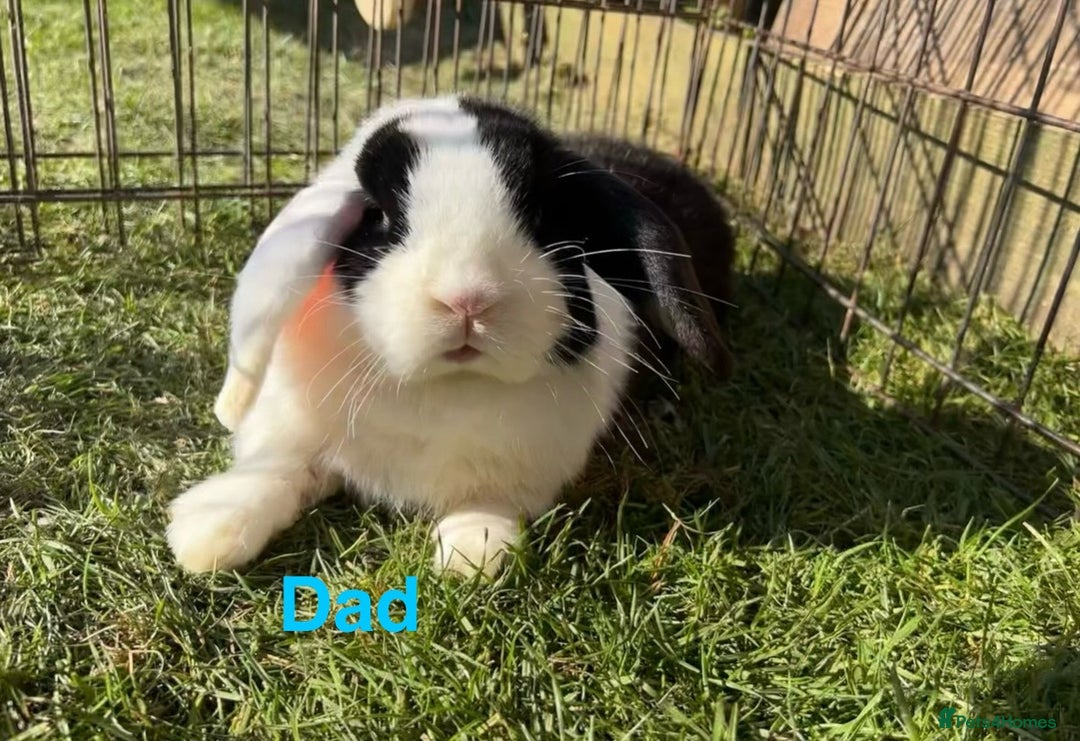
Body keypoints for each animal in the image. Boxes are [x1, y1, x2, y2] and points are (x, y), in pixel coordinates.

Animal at [166, 95, 735, 579]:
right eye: (378, 214)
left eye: (540, 216)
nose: (467, 299)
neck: (441, 388)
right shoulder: (297, 432)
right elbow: (281, 467)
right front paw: (205, 531)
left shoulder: (519, 473)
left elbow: (487, 502)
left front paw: (471, 553)